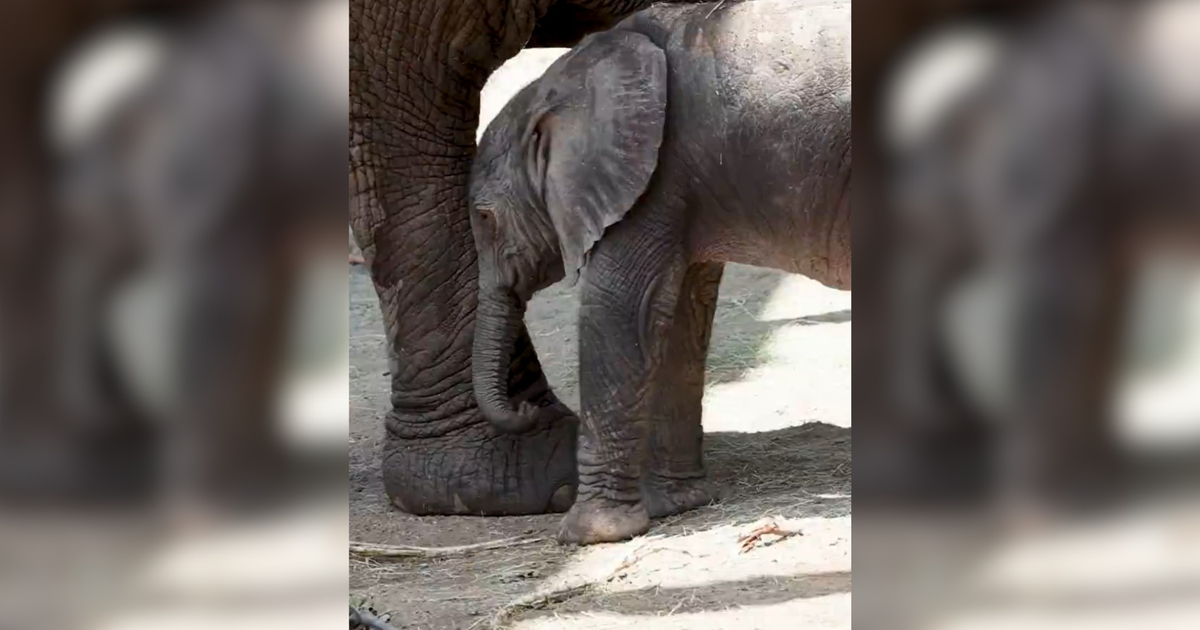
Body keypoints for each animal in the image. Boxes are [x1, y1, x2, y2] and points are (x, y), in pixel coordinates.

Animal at [468, 0, 851, 543]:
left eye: (484, 218)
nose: (524, 411)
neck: (566, 78)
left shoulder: (652, 179)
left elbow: (622, 309)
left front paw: (588, 534)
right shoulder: (684, 187)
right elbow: (678, 316)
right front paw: (677, 506)